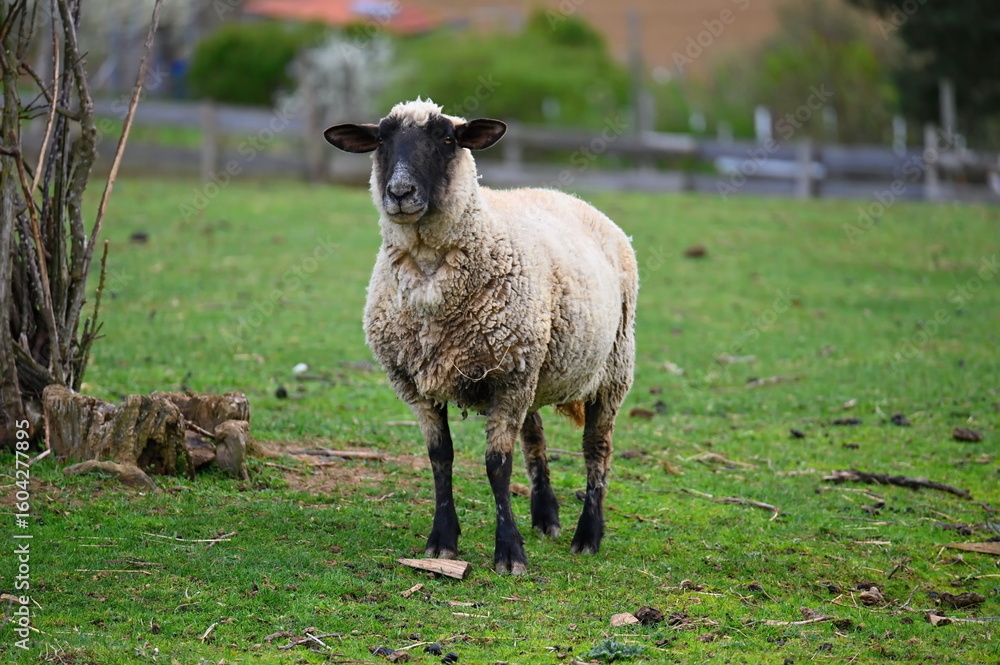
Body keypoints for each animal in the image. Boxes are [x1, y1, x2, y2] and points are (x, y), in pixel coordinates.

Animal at [323, 99, 637, 575]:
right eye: (379, 140)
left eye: (448, 139)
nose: (400, 192)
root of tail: (566, 196)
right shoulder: (418, 383)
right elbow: (441, 458)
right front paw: (441, 542)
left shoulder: (508, 379)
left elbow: (496, 465)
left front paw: (509, 552)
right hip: (532, 364)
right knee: (535, 435)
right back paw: (546, 516)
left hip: (612, 365)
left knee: (596, 448)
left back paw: (588, 535)